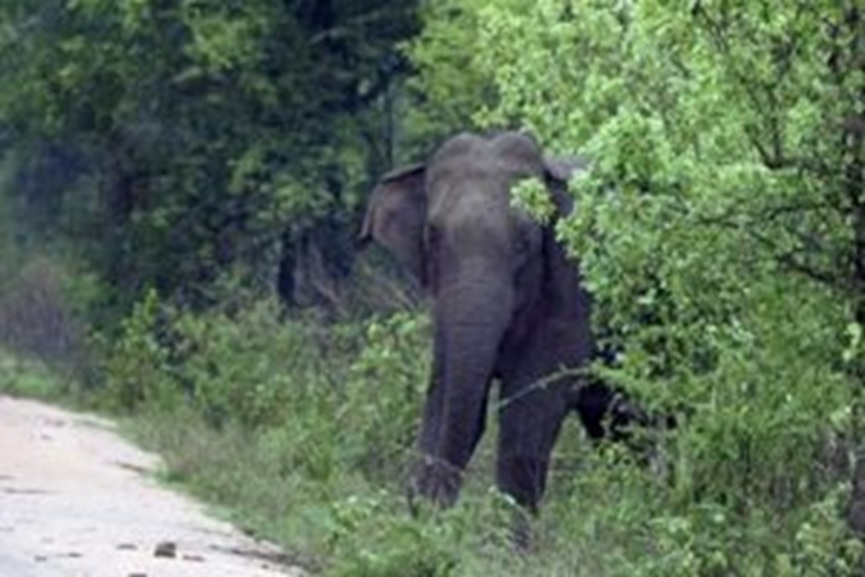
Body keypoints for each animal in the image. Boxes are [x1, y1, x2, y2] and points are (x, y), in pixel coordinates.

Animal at [360, 131, 636, 514]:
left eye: (525, 242)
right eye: (433, 236)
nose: (431, 508)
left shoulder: (577, 286)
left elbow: (528, 418)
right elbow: (445, 394)